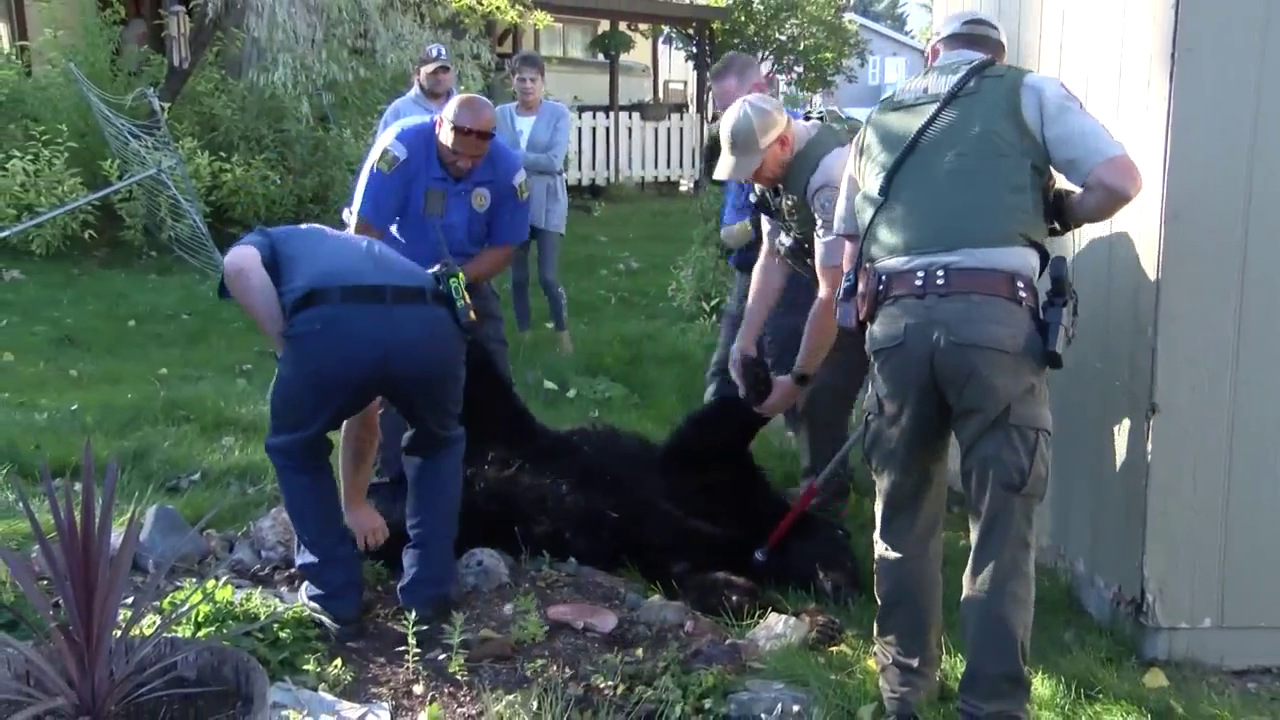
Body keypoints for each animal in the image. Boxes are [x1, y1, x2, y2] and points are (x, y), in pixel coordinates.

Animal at [373, 338, 865, 620]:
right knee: (472, 375)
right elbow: (708, 433)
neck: (761, 533)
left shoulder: (688, 547)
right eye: (849, 557)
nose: (852, 591)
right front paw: (759, 382)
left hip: (472, 508)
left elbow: (692, 578)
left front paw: (767, 603)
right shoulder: (712, 474)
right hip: (502, 421)